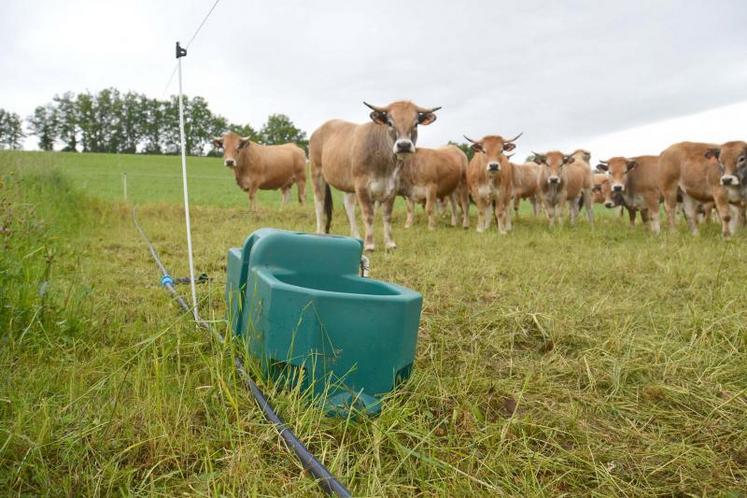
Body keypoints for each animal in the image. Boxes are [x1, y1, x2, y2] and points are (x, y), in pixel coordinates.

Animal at [308, 101, 442, 251]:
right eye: (389, 122)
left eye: (416, 123)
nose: (404, 145)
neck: (384, 163)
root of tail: (321, 128)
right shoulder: (362, 186)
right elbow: (368, 215)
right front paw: (370, 245)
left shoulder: (392, 186)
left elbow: (387, 215)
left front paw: (390, 243)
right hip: (316, 172)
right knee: (319, 202)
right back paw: (320, 233)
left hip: (348, 183)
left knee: (348, 205)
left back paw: (356, 236)